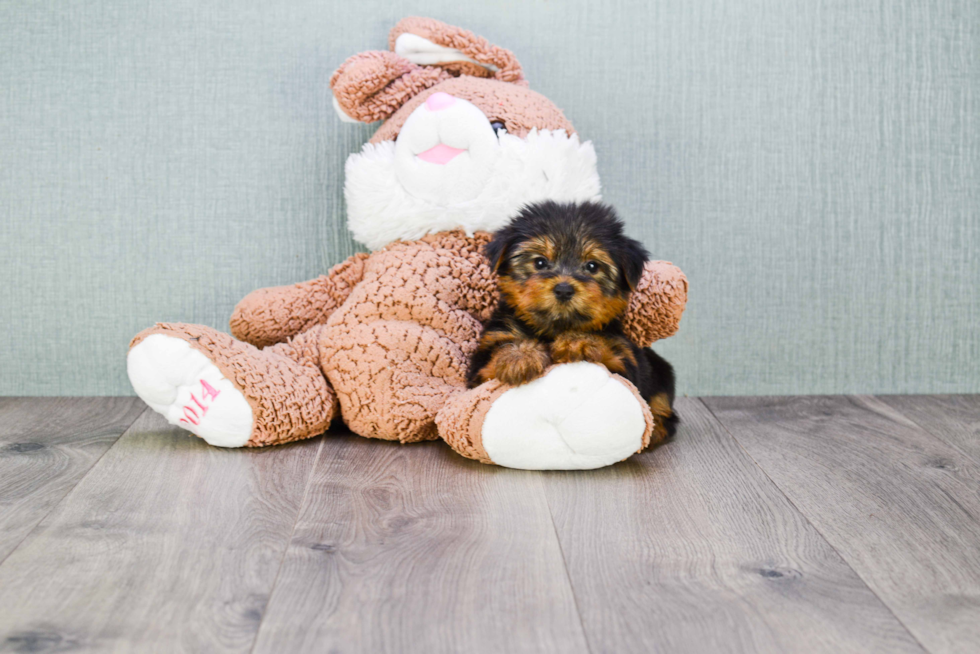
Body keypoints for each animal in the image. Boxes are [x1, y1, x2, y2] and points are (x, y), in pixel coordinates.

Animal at [470, 201, 676, 440]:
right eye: (540, 262)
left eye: (592, 266)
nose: (564, 289)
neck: (555, 327)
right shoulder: (481, 364)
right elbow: (491, 363)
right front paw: (519, 356)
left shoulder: (627, 362)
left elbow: (616, 361)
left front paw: (579, 341)